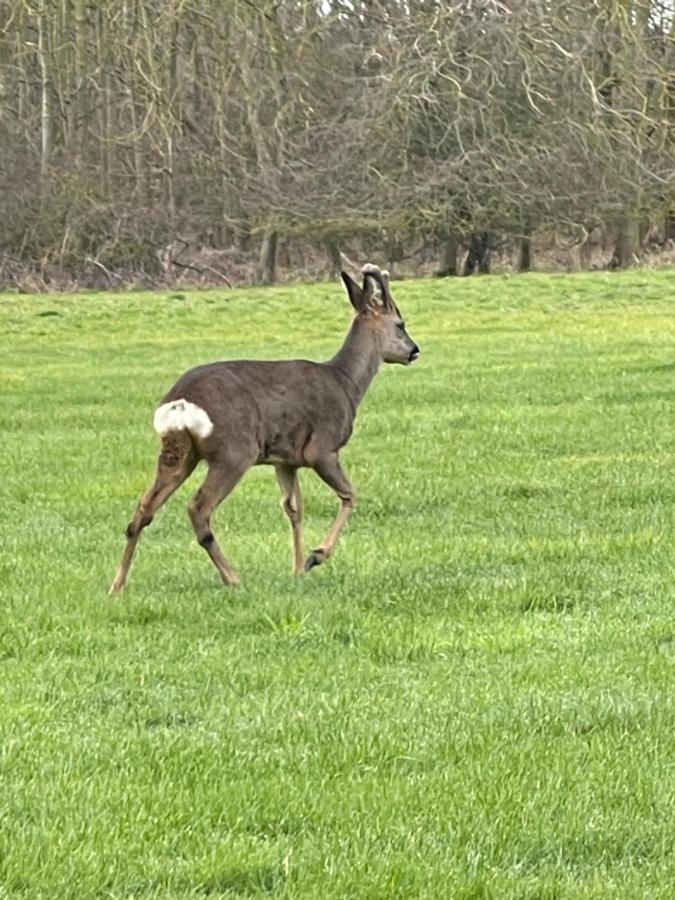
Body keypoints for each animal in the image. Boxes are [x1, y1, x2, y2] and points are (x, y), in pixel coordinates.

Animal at [109, 264, 420, 596]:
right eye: (400, 324)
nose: (414, 351)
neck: (346, 383)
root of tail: (179, 404)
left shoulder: (286, 461)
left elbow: (294, 508)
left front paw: (297, 569)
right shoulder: (322, 448)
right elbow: (349, 494)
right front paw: (315, 556)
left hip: (178, 452)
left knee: (143, 510)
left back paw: (117, 584)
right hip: (234, 452)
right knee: (198, 508)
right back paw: (232, 578)